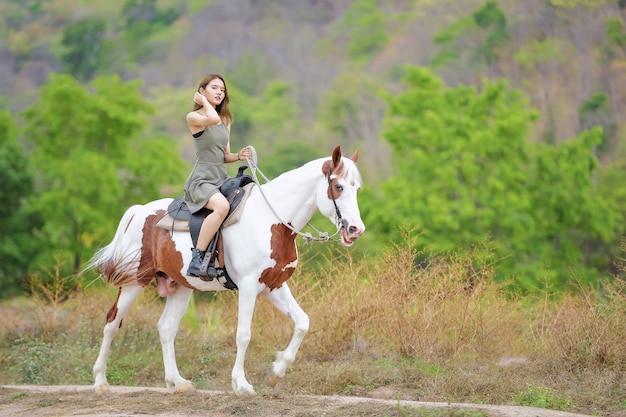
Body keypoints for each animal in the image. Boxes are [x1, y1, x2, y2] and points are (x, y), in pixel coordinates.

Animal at [85, 145, 364, 394]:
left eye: (357, 188)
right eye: (338, 186)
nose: (355, 230)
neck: (271, 221)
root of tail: (140, 210)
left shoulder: (274, 286)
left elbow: (303, 322)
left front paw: (276, 372)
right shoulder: (249, 286)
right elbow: (243, 334)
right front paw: (241, 384)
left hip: (181, 287)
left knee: (166, 328)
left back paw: (177, 382)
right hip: (135, 281)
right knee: (112, 322)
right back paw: (100, 382)